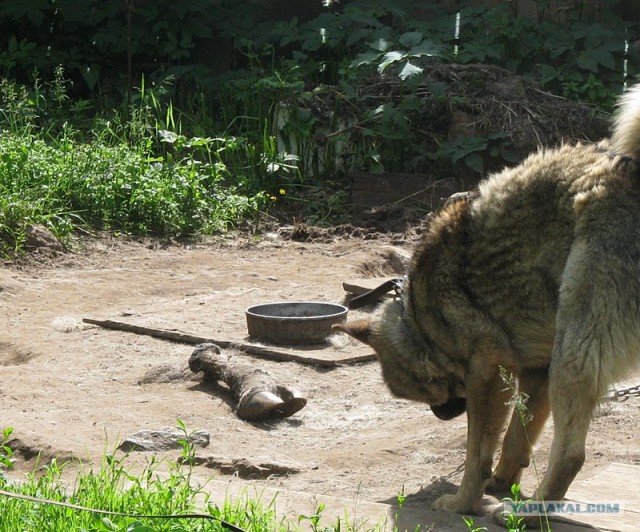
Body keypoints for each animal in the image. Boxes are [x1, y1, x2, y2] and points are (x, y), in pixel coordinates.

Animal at [332, 86, 640, 516]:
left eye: (426, 390)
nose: (443, 415)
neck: (421, 320)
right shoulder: (535, 372)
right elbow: (516, 437)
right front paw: (502, 481)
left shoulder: (489, 376)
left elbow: (476, 451)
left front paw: (463, 501)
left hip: (574, 354)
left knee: (571, 455)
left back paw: (529, 513)